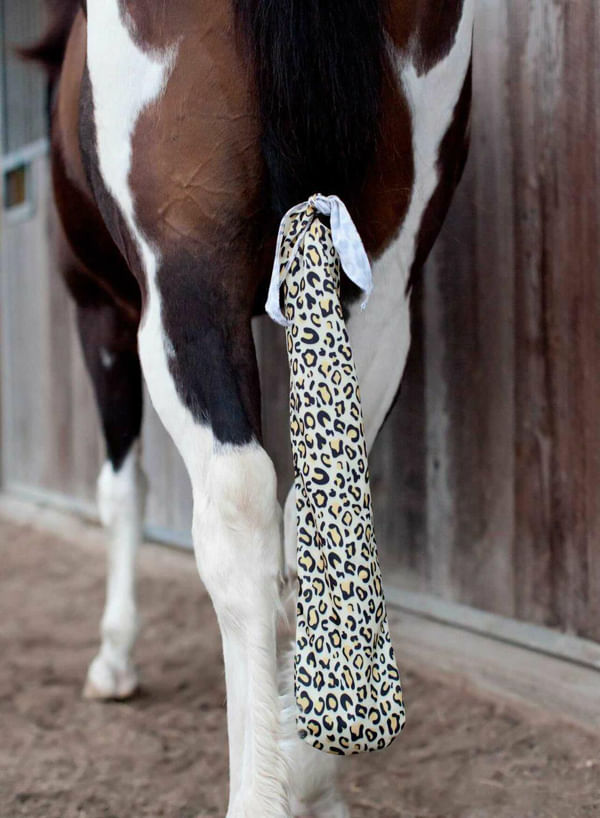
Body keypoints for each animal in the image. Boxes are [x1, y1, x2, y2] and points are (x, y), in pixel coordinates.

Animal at [24, 0, 474, 814]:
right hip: (385, 289)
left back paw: (264, 786)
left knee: (237, 512)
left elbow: (120, 490)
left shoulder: (100, 314)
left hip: (184, 286)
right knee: (311, 507)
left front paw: (114, 656)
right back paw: (310, 766)